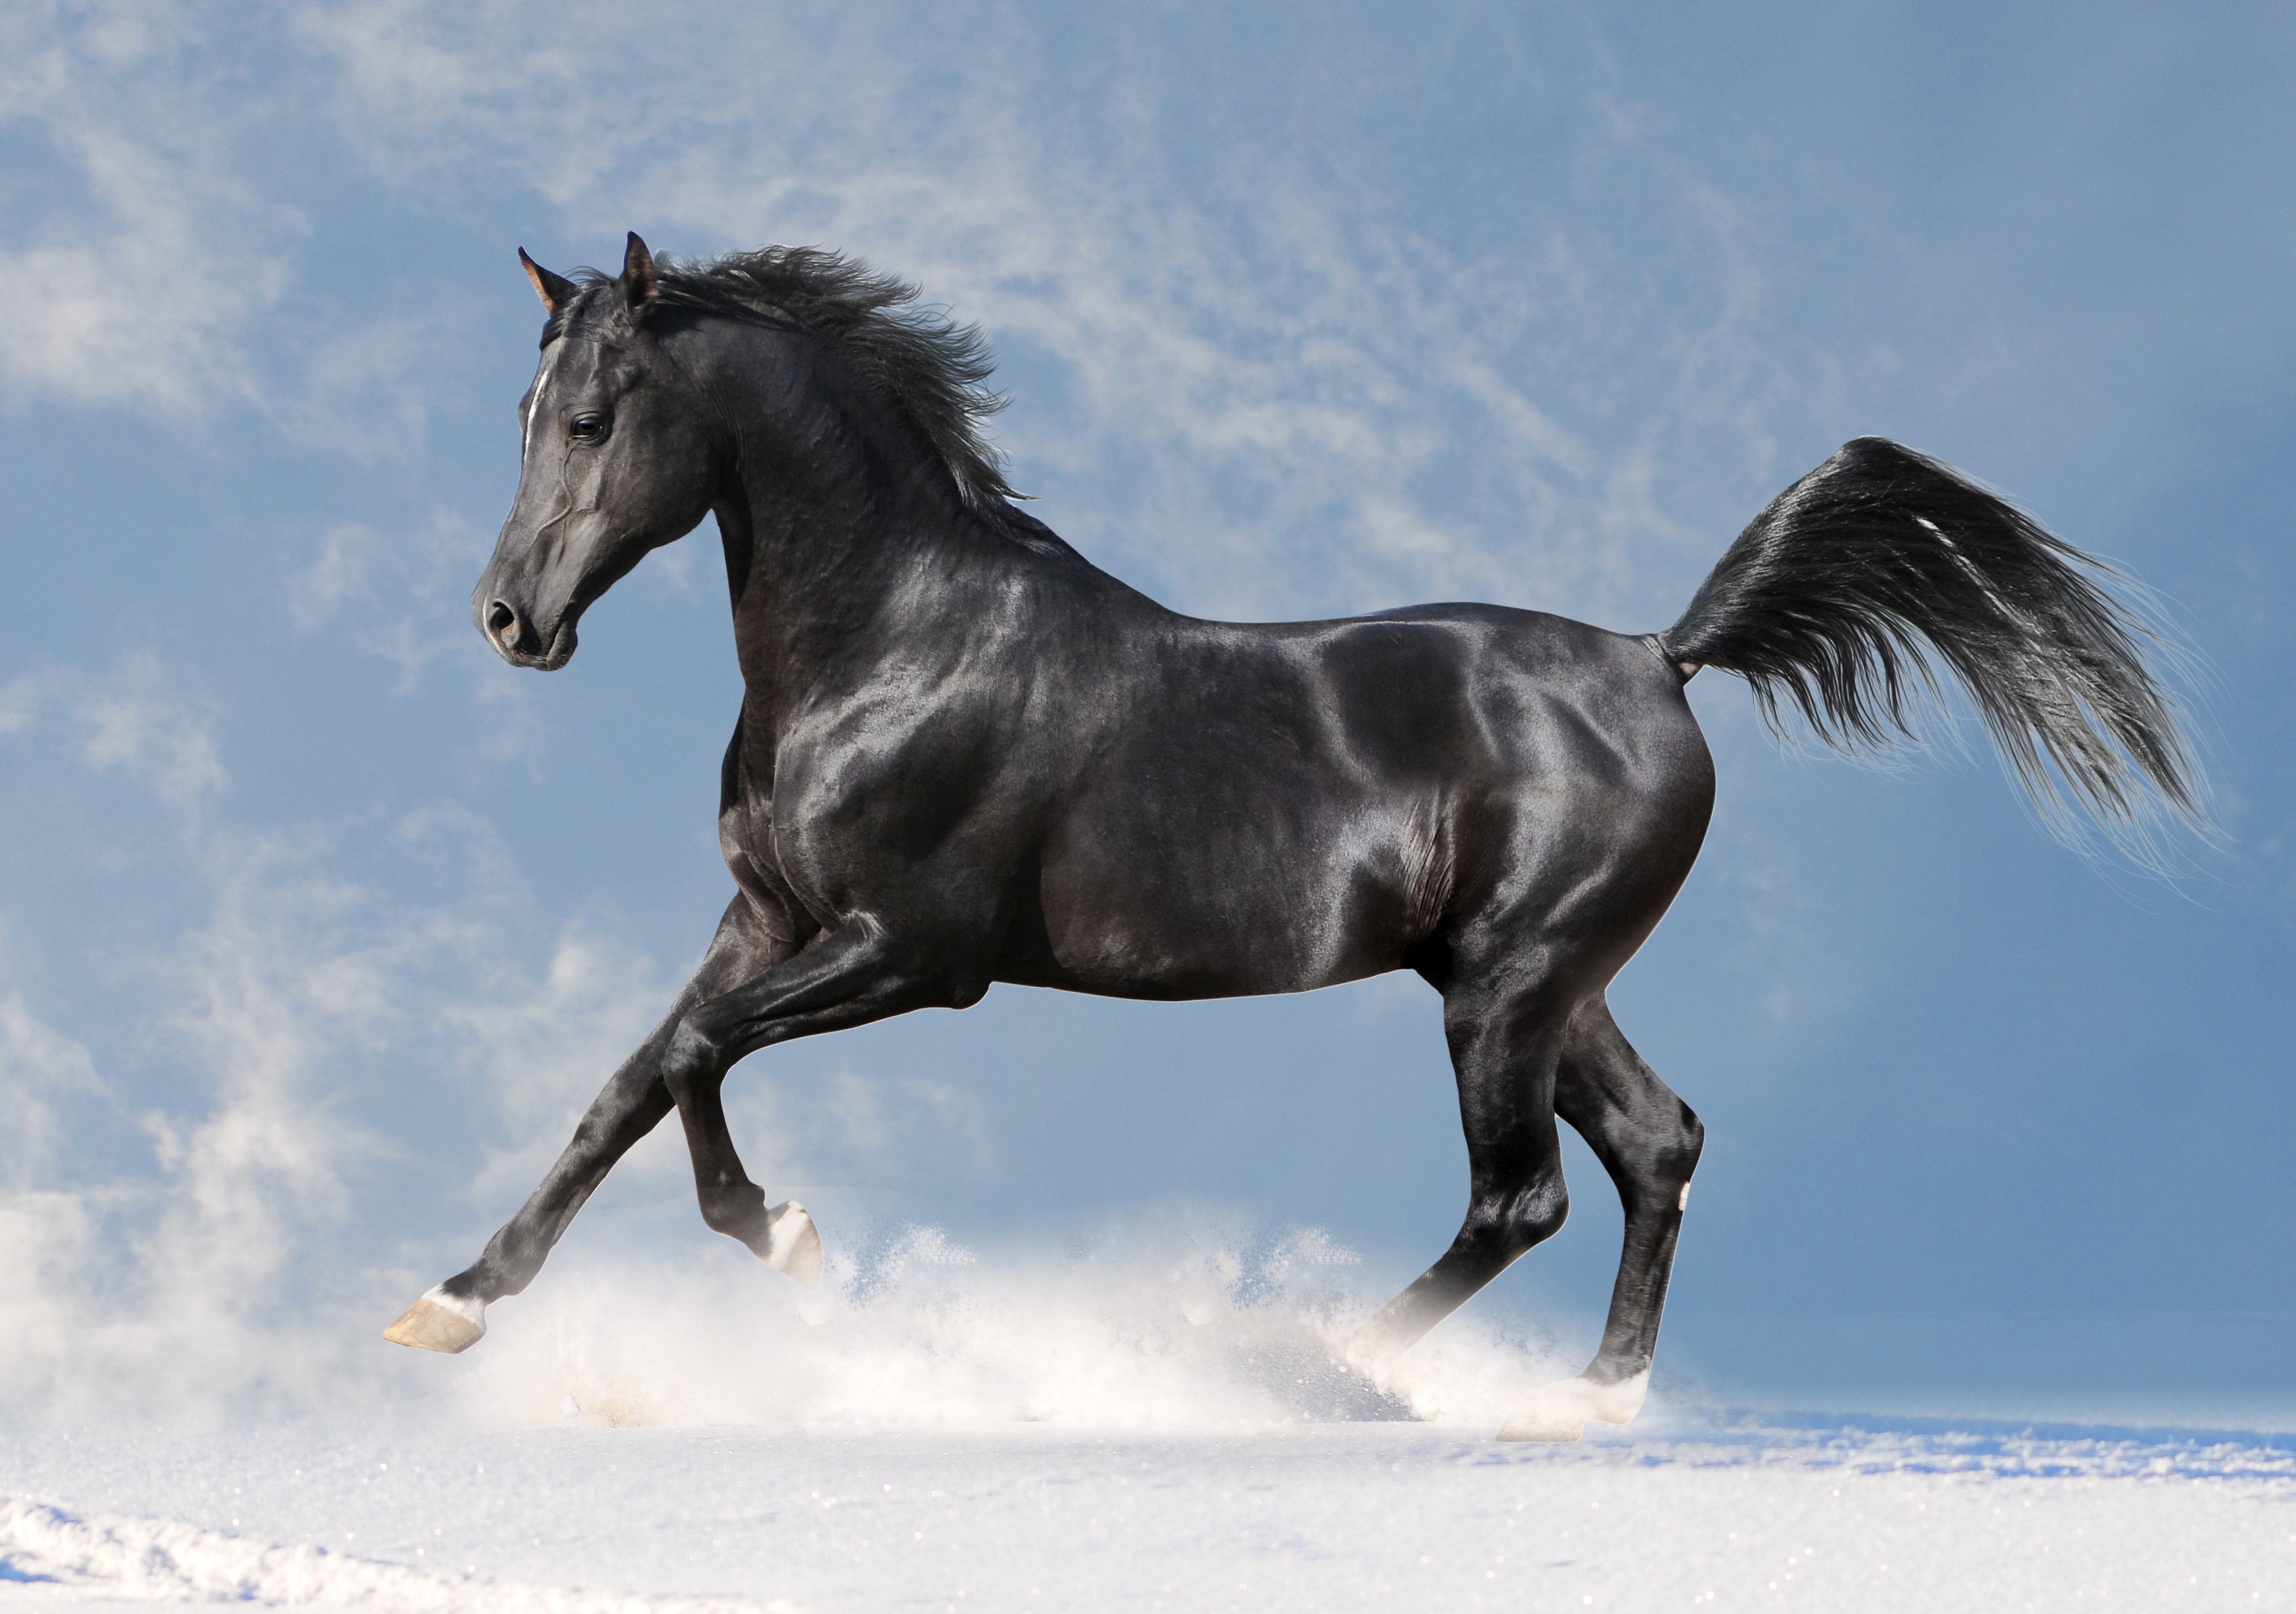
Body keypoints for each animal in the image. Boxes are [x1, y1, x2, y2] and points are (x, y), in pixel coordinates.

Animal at [384, 233, 2203, 1441]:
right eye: (522, 408)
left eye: (597, 416)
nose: (509, 620)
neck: (898, 643)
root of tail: (1659, 655)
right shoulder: (763, 918)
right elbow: (631, 1080)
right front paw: (453, 1303)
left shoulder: (916, 954)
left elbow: (698, 1061)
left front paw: (792, 1241)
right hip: (1539, 980)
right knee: (1657, 1144)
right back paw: (1591, 1406)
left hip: (1505, 990)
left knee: (1524, 1195)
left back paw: (1282, 1364)